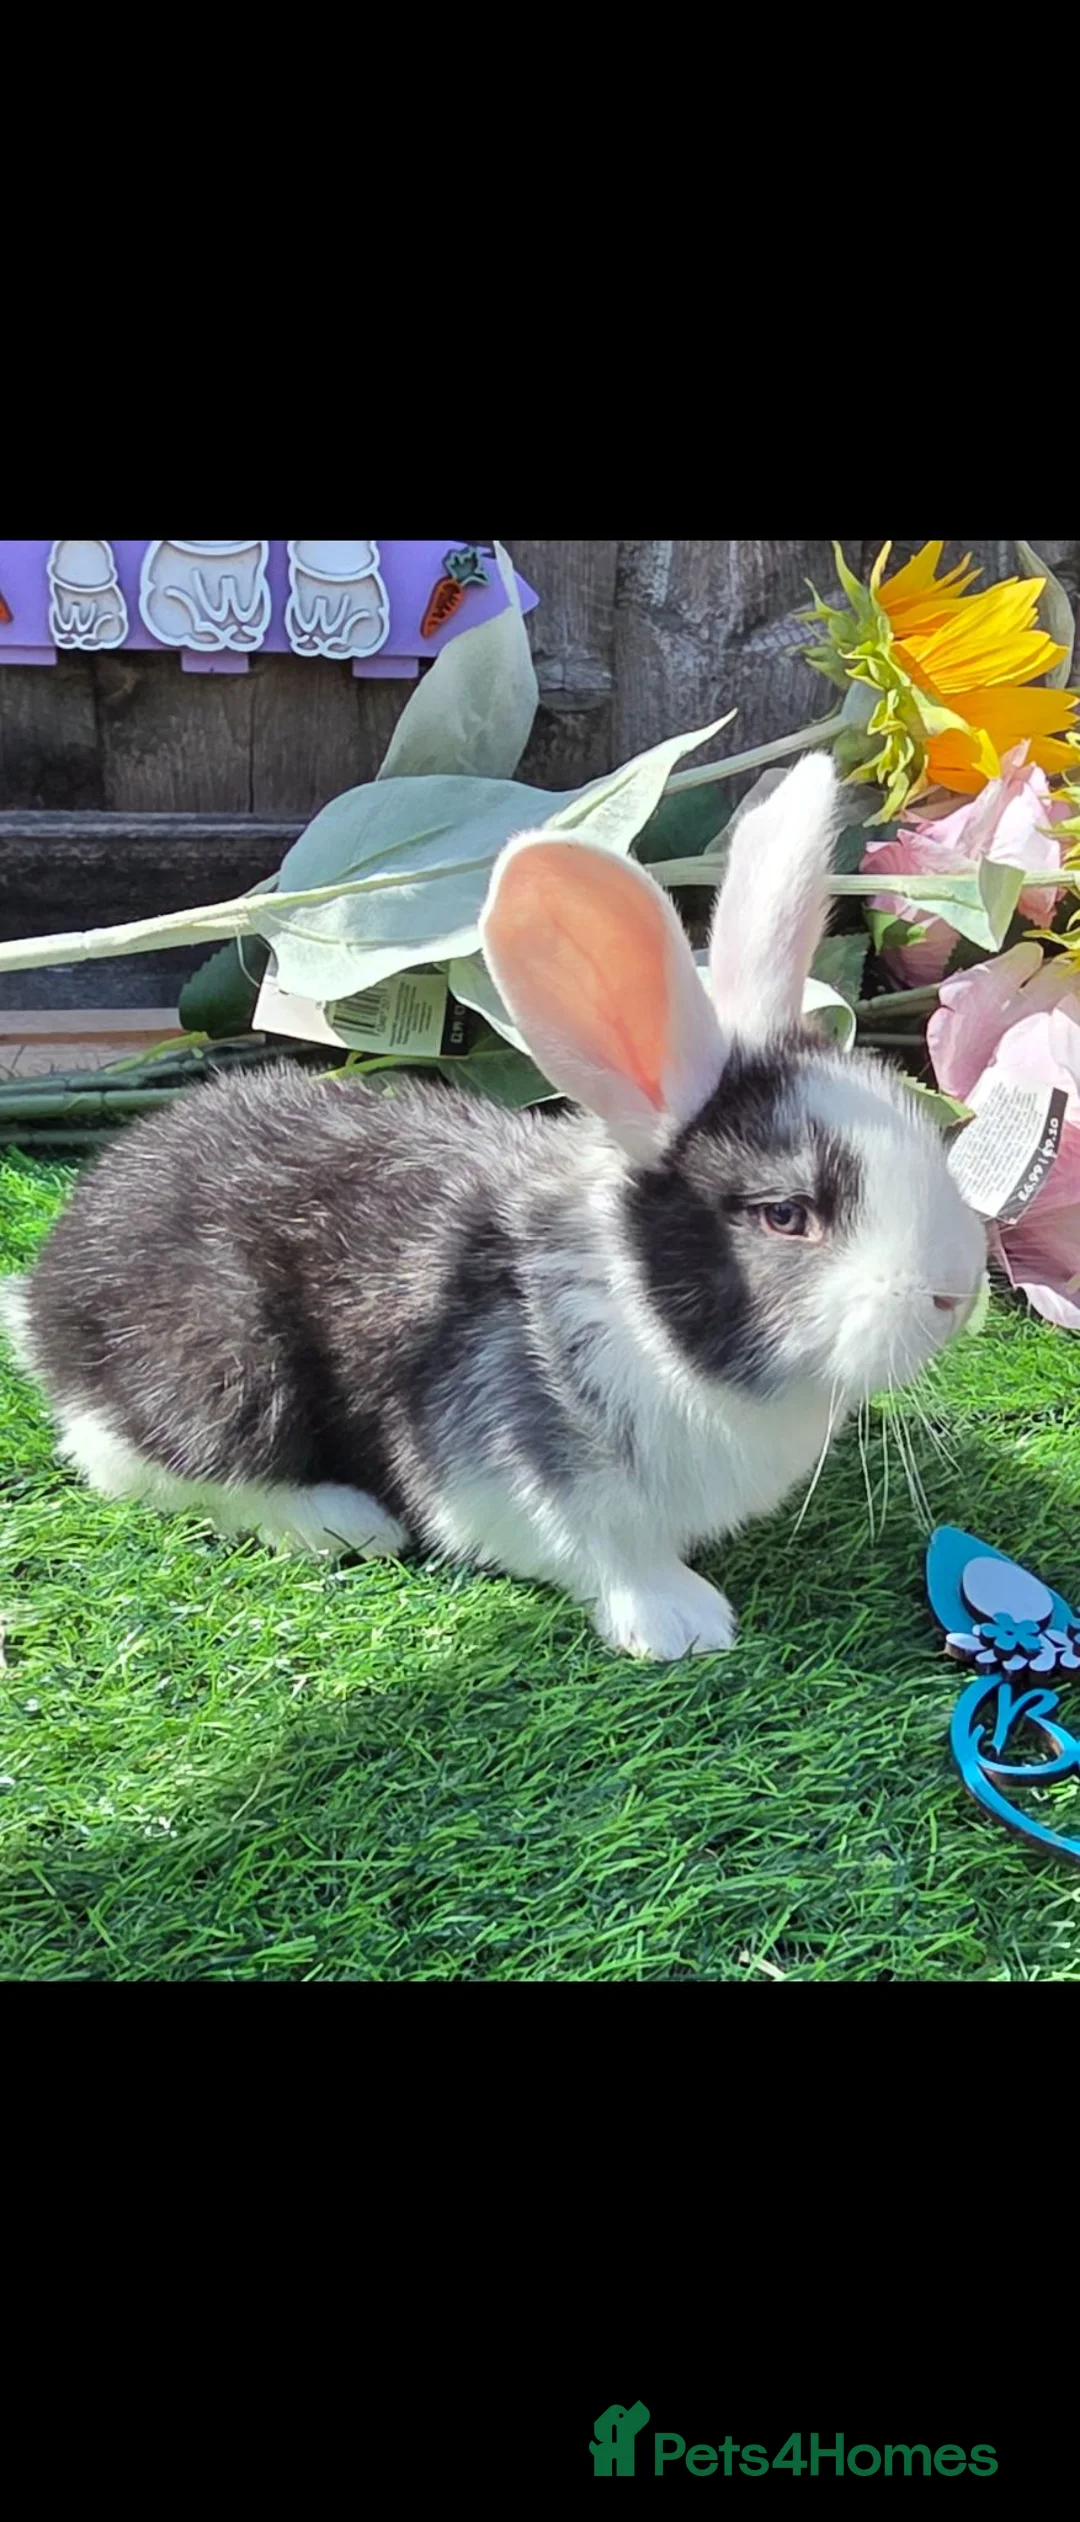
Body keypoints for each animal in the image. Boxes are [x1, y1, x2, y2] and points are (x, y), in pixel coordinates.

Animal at [0, 755, 987, 1661]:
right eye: (787, 1214)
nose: (955, 1293)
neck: (642, 1320)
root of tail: (47, 1300)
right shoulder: (512, 1478)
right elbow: (608, 1555)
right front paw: (681, 1623)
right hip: (226, 1370)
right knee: (155, 1464)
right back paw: (340, 1519)